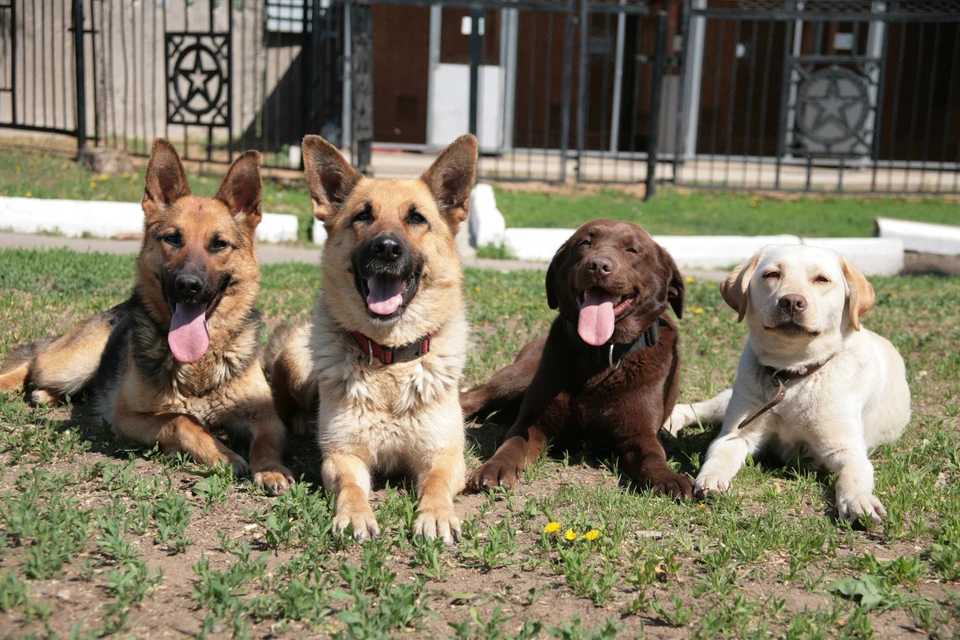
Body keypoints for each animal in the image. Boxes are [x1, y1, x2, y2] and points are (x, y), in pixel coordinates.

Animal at [0, 140, 292, 496]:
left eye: (219, 244)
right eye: (173, 239)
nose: (188, 286)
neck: (199, 366)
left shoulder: (269, 420)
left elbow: (265, 444)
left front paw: (272, 470)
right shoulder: (127, 417)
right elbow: (181, 420)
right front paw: (222, 454)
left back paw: (45, 396)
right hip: (71, 365)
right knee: (32, 361)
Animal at [264, 132, 478, 544]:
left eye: (416, 218)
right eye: (363, 215)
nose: (386, 248)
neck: (389, 358)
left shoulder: (445, 455)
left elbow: (436, 484)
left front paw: (436, 514)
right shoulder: (343, 456)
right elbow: (351, 487)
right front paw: (355, 515)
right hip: (298, 361)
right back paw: (301, 420)